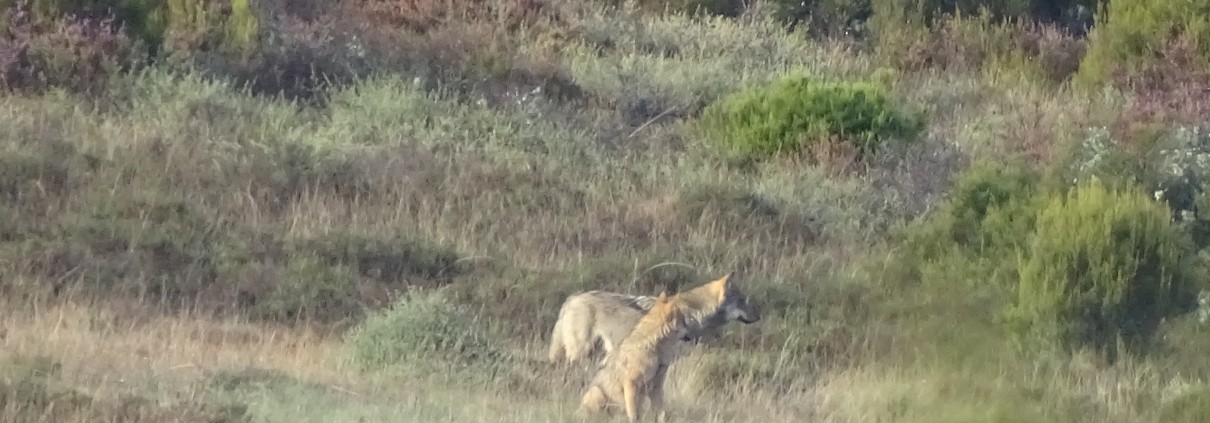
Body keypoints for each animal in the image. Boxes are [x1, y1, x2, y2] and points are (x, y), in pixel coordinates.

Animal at [575, 291, 692, 423]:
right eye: (684, 321)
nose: (693, 331)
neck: (654, 347)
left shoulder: (656, 387)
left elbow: (661, 412)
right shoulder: (631, 384)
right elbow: (633, 414)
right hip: (596, 393)